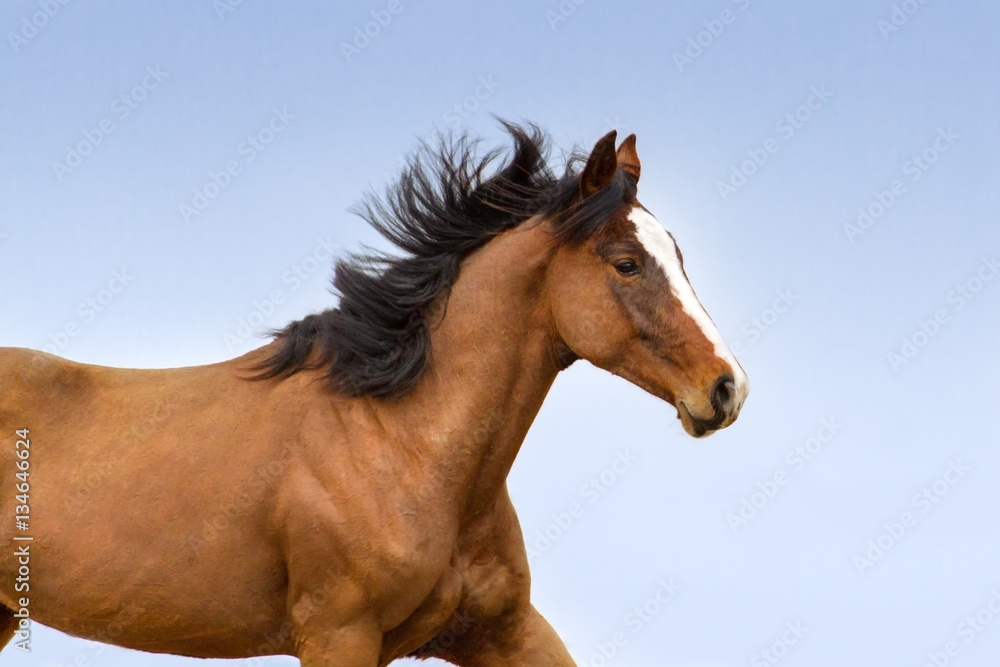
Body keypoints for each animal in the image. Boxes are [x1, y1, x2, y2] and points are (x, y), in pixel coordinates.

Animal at [0, 122, 748, 665]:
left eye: (677, 255)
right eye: (626, 264)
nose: (727, 387)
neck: (398, 441)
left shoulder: (504, 629)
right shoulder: (339, 632)